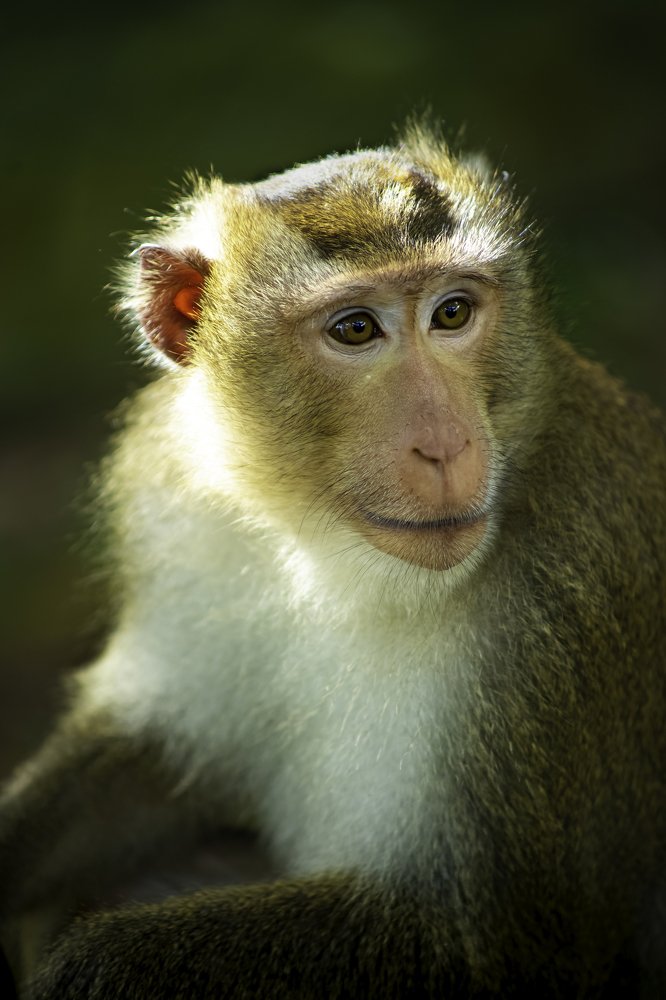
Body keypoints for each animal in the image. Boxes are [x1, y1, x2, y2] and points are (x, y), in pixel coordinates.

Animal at [0, 123, 665, 999]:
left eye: (453, 312)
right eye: (355, 330)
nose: (447, 445)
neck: (329, 555)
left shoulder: (566, 600)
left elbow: (481, 943)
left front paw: (91, 967)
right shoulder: (179, 511)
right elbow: (149, 759)